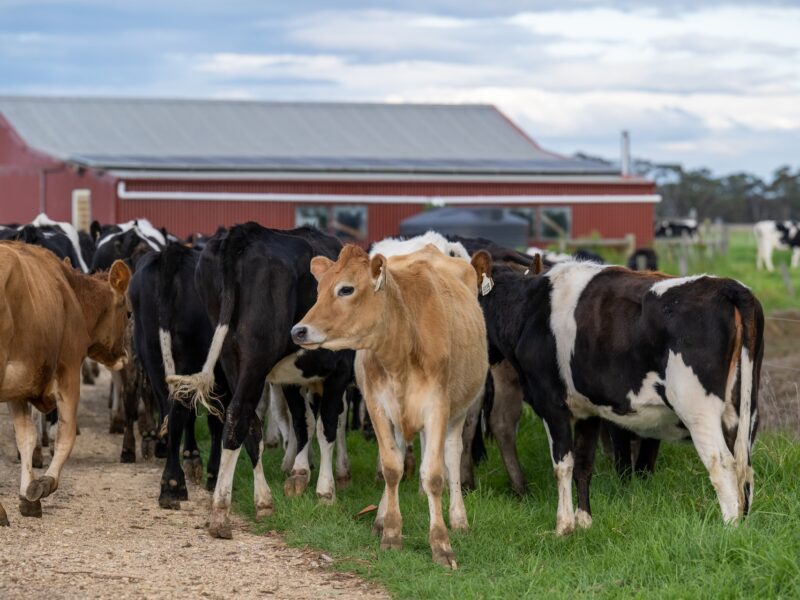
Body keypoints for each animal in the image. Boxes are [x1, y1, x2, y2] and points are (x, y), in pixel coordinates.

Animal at [0, 241, 131, 528]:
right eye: (129, 313)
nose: (124, 356)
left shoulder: (19, 385)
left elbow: (26, 437)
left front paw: (28, 497)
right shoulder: (69, 371)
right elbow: (66, 434)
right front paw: (44, 484)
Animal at [169, 221, 354, 540]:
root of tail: (245, 232)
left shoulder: (292, 377)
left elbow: (303, 422)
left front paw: (300, 473)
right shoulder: (339, 369)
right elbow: (326, 426)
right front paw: (325, 491)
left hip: (232, 357)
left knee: (251, 424)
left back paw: (263, 500)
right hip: (257, 355)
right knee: (239, 413)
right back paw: (221, 511)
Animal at [290, 243, 488, 568]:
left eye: (346, 289)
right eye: (319, 289)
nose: (298, 331)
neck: (401, 349)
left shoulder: (438, 407)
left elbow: (435, 475)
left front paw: (442, 544)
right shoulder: (377, 407)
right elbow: (391, 468)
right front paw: (391, 533)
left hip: (460, 410)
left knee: (451, 455)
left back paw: (459, 519)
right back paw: (381, 517)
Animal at [472, 253, 764, 536]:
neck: (528, 311)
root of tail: (727, 285)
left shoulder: (552, 404)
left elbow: (563, 464)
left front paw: (563, 527)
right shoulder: (587, 411)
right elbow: (583, 464)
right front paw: (585, 522)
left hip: (697, 409)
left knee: (722, 464)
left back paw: (729, 529)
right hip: (742, 412)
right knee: (744, 468)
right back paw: (743, 525)